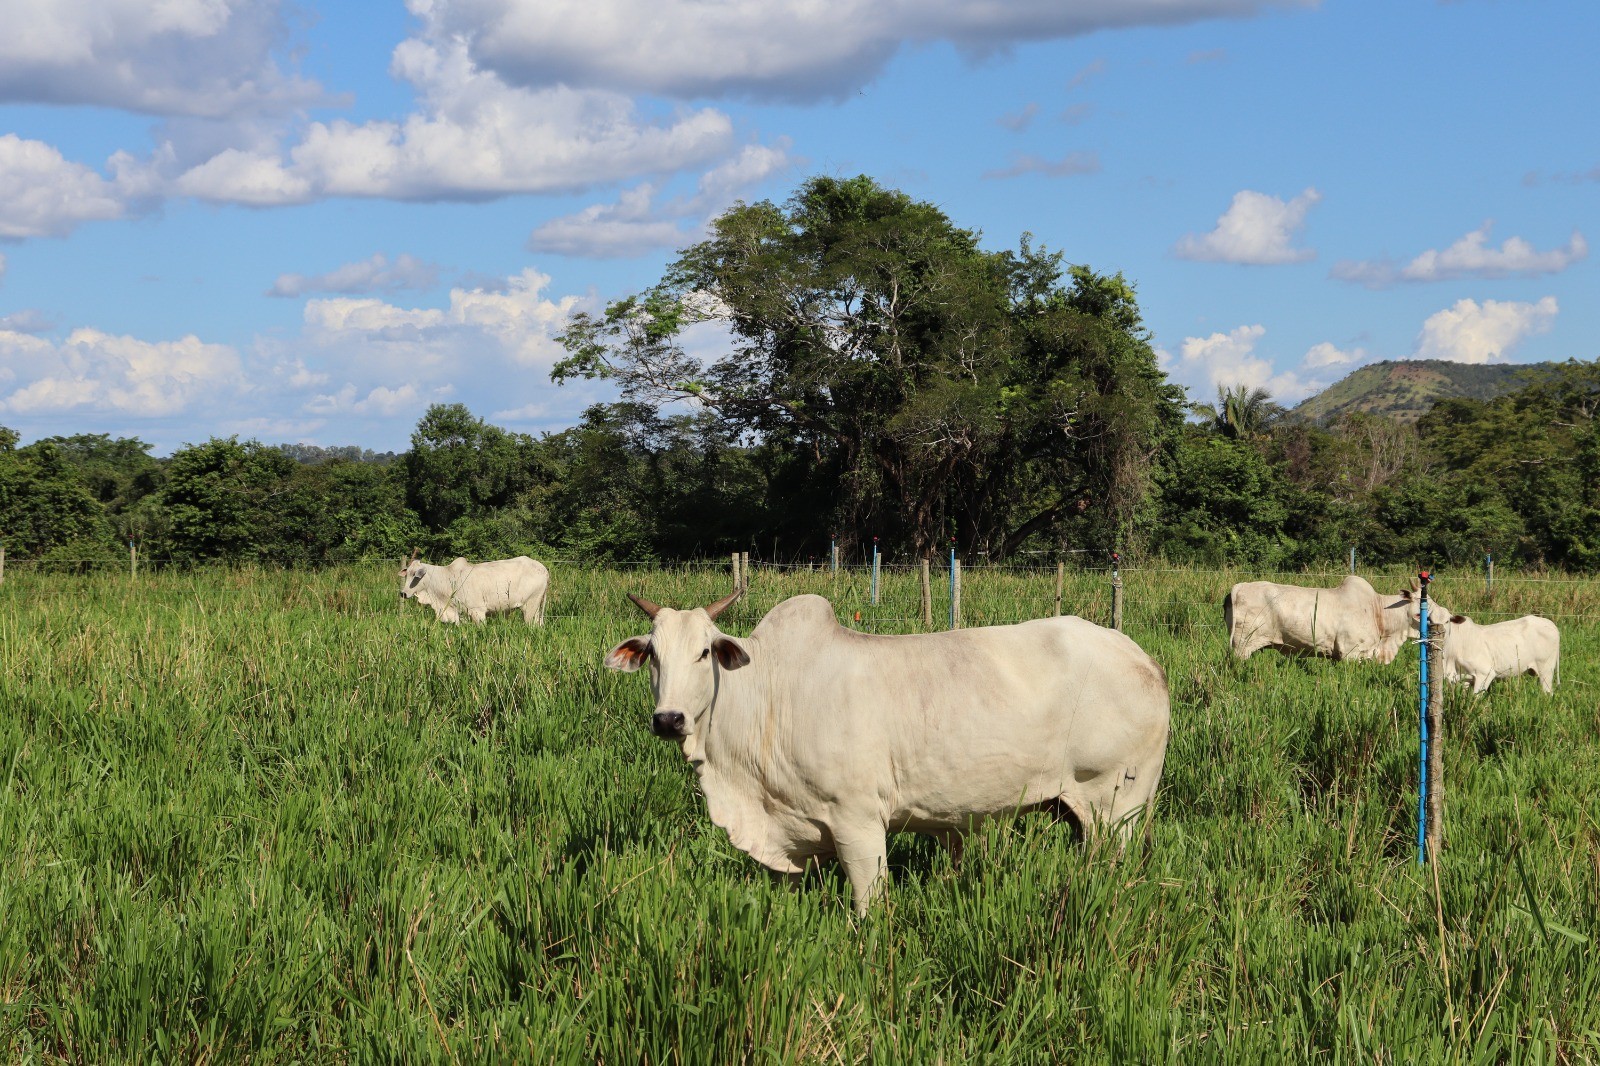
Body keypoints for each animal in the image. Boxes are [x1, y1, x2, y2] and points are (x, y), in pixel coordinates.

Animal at [398, 547, 550, 624]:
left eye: (415, 575)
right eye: (407, 574)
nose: (403, 593)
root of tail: (544, 569)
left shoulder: (478, 611)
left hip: (530, 606)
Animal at [604, 589, 1171, 915]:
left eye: (704, 652)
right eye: (652, 655)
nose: (669, 719)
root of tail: (1143, 659)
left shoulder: (857, 821)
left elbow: (868, 907)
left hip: (1116, 809)